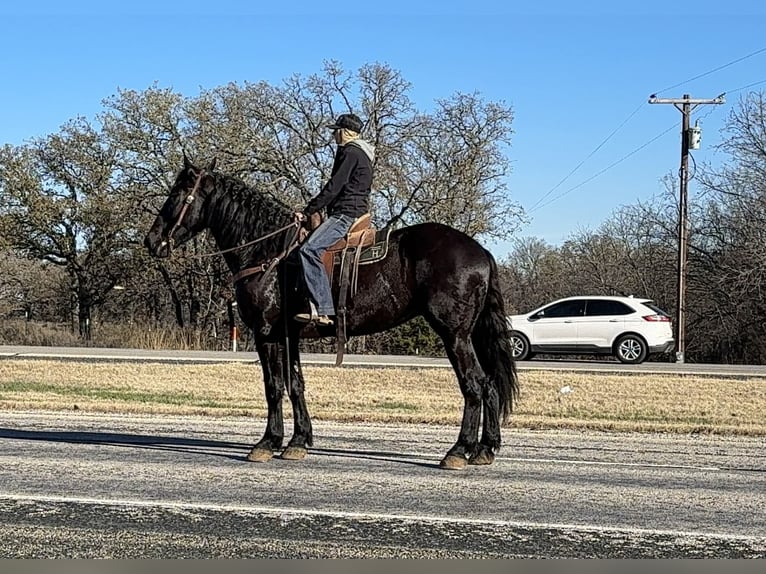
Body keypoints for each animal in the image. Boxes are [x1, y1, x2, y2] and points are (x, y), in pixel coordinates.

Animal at [144, 157, 520, 470]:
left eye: (178, 194)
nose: (151, 241)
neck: (267, 251)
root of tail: (481, 252)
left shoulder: (265, 334)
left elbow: (273, 386)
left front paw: (267, 443)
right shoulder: (289, 335)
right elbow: (295, 384)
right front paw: (297, 441)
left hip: (454, 334)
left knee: (474, 384)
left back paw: (459, 450)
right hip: (469, 334)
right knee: (489, 384)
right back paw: (485, 449)